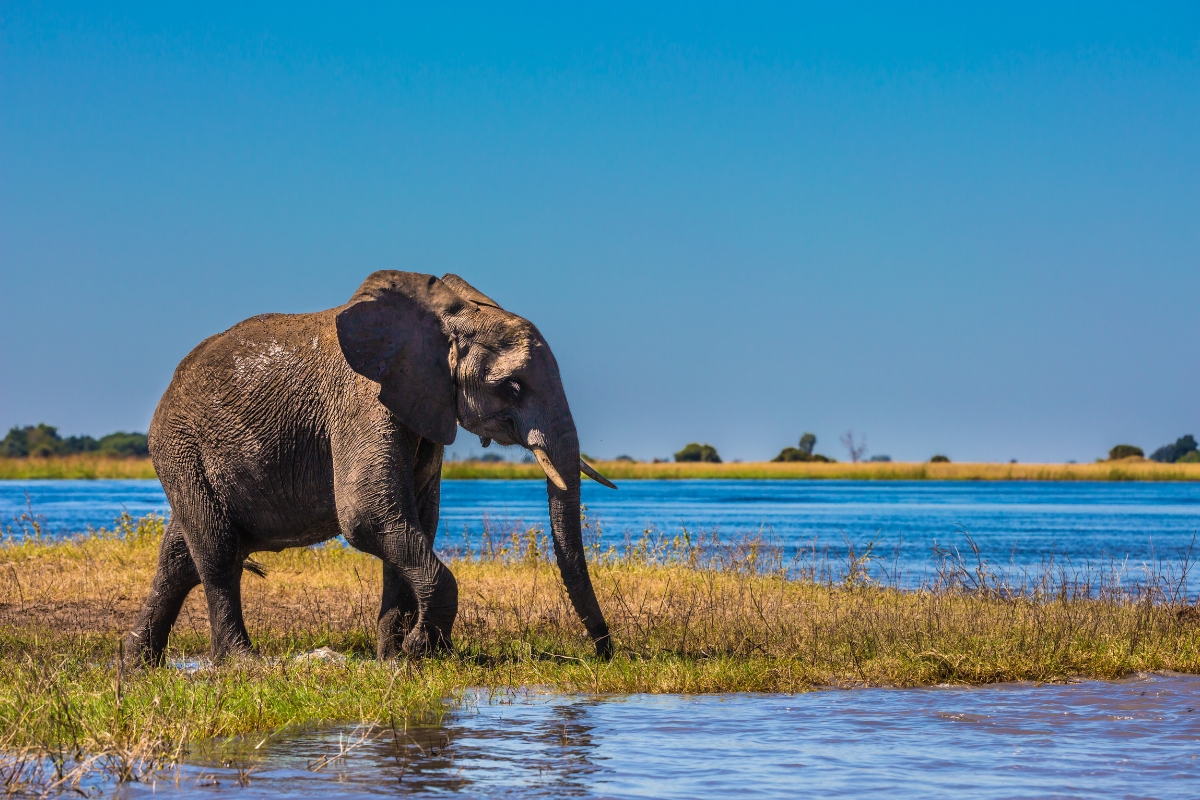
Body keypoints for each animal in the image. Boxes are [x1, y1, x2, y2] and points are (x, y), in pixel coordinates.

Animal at [124, 271, 616, 665]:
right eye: (512, 387)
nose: (605, 651)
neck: (443, 317)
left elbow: (415, 522)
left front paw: (394, 659)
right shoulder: (361, 402)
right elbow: (369, 517)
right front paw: (420, 652)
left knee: (179, 557)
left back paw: (136, 667)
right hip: (180, 447)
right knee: (217, 552)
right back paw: (242, 664)